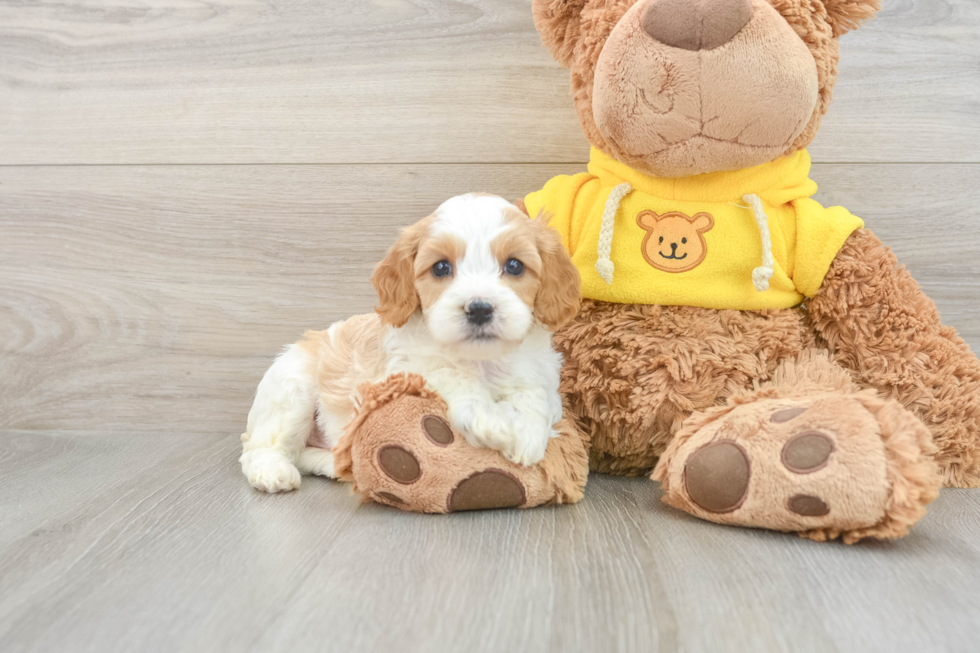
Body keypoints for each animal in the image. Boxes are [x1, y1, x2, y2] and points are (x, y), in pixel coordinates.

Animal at [240, 196, 580, 492]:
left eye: (514, 266)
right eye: (441, 267)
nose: (480, 308)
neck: (481, 359)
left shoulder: (539, 372)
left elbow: (536, 396)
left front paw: (528, 433)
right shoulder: (403, 370)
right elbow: (451, 375)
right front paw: (493, 422)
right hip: (292, 392)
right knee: (260, 446)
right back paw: (273, 472)